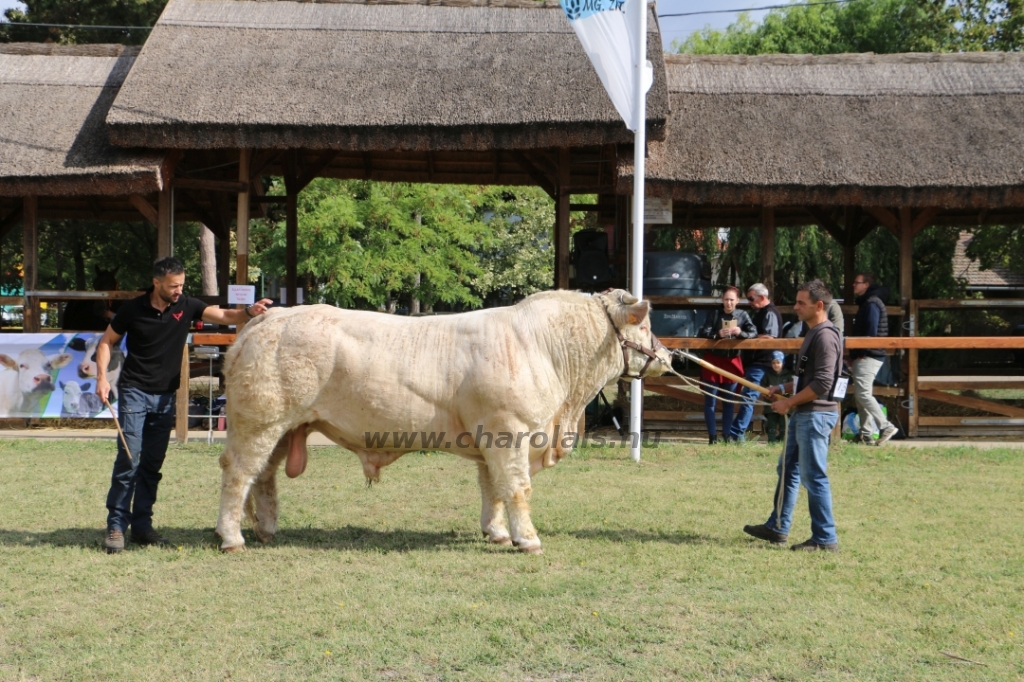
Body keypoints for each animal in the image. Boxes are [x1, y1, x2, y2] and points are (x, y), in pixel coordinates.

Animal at [214, 286, 671, 552]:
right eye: (645, 324)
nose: (667, 356)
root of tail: (268, 318)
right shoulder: (511, 431)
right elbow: (517, 488)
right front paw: (528, 539)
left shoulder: (494, 439)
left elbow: (493, 489)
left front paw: (497, 532)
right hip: (259, 421)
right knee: (239, 473)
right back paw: (232, 537)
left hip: (285, 427)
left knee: (264, 477)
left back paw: (267, 529)